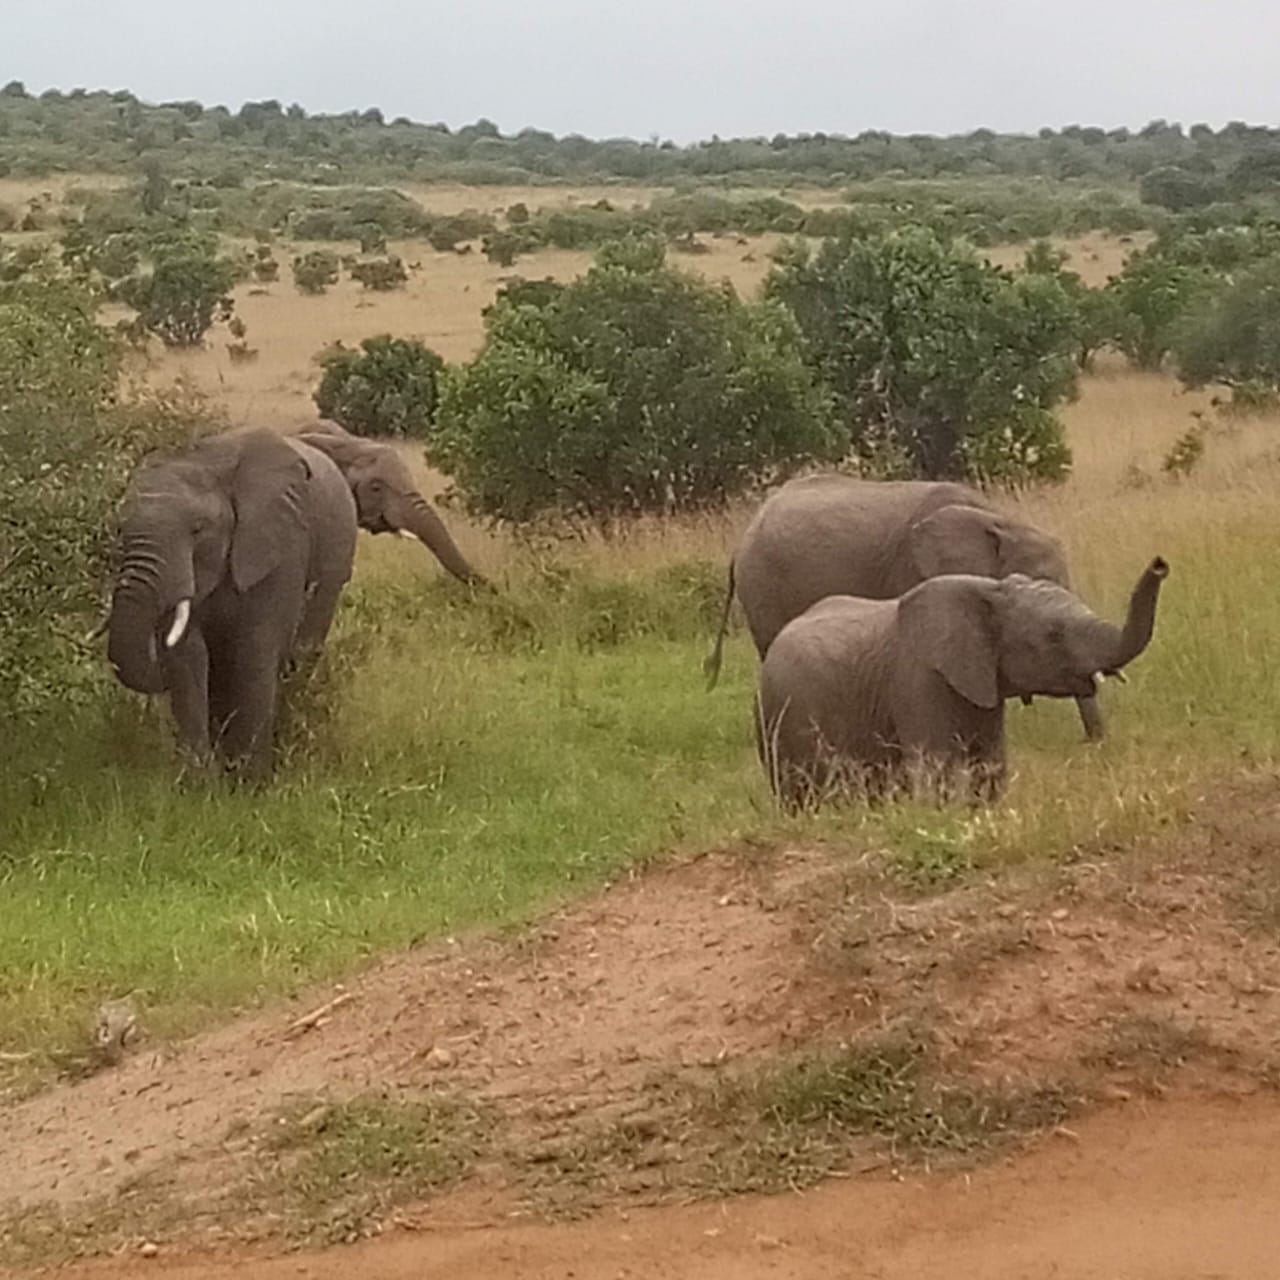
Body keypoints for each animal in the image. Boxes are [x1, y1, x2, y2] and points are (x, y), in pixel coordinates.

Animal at [106, 427, 358, 779]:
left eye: (198, 529)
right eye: (121, 529)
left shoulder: (282, 547)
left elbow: (254, 650)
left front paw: (250, 782)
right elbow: (188, 656)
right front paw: (199, 782)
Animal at [755, 557, 1168, 811]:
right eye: (1052, 635)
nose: (1160, 565)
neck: (991, 592)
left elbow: (991, 766)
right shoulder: (919, 679)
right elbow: (936, 768)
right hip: (784, 719)